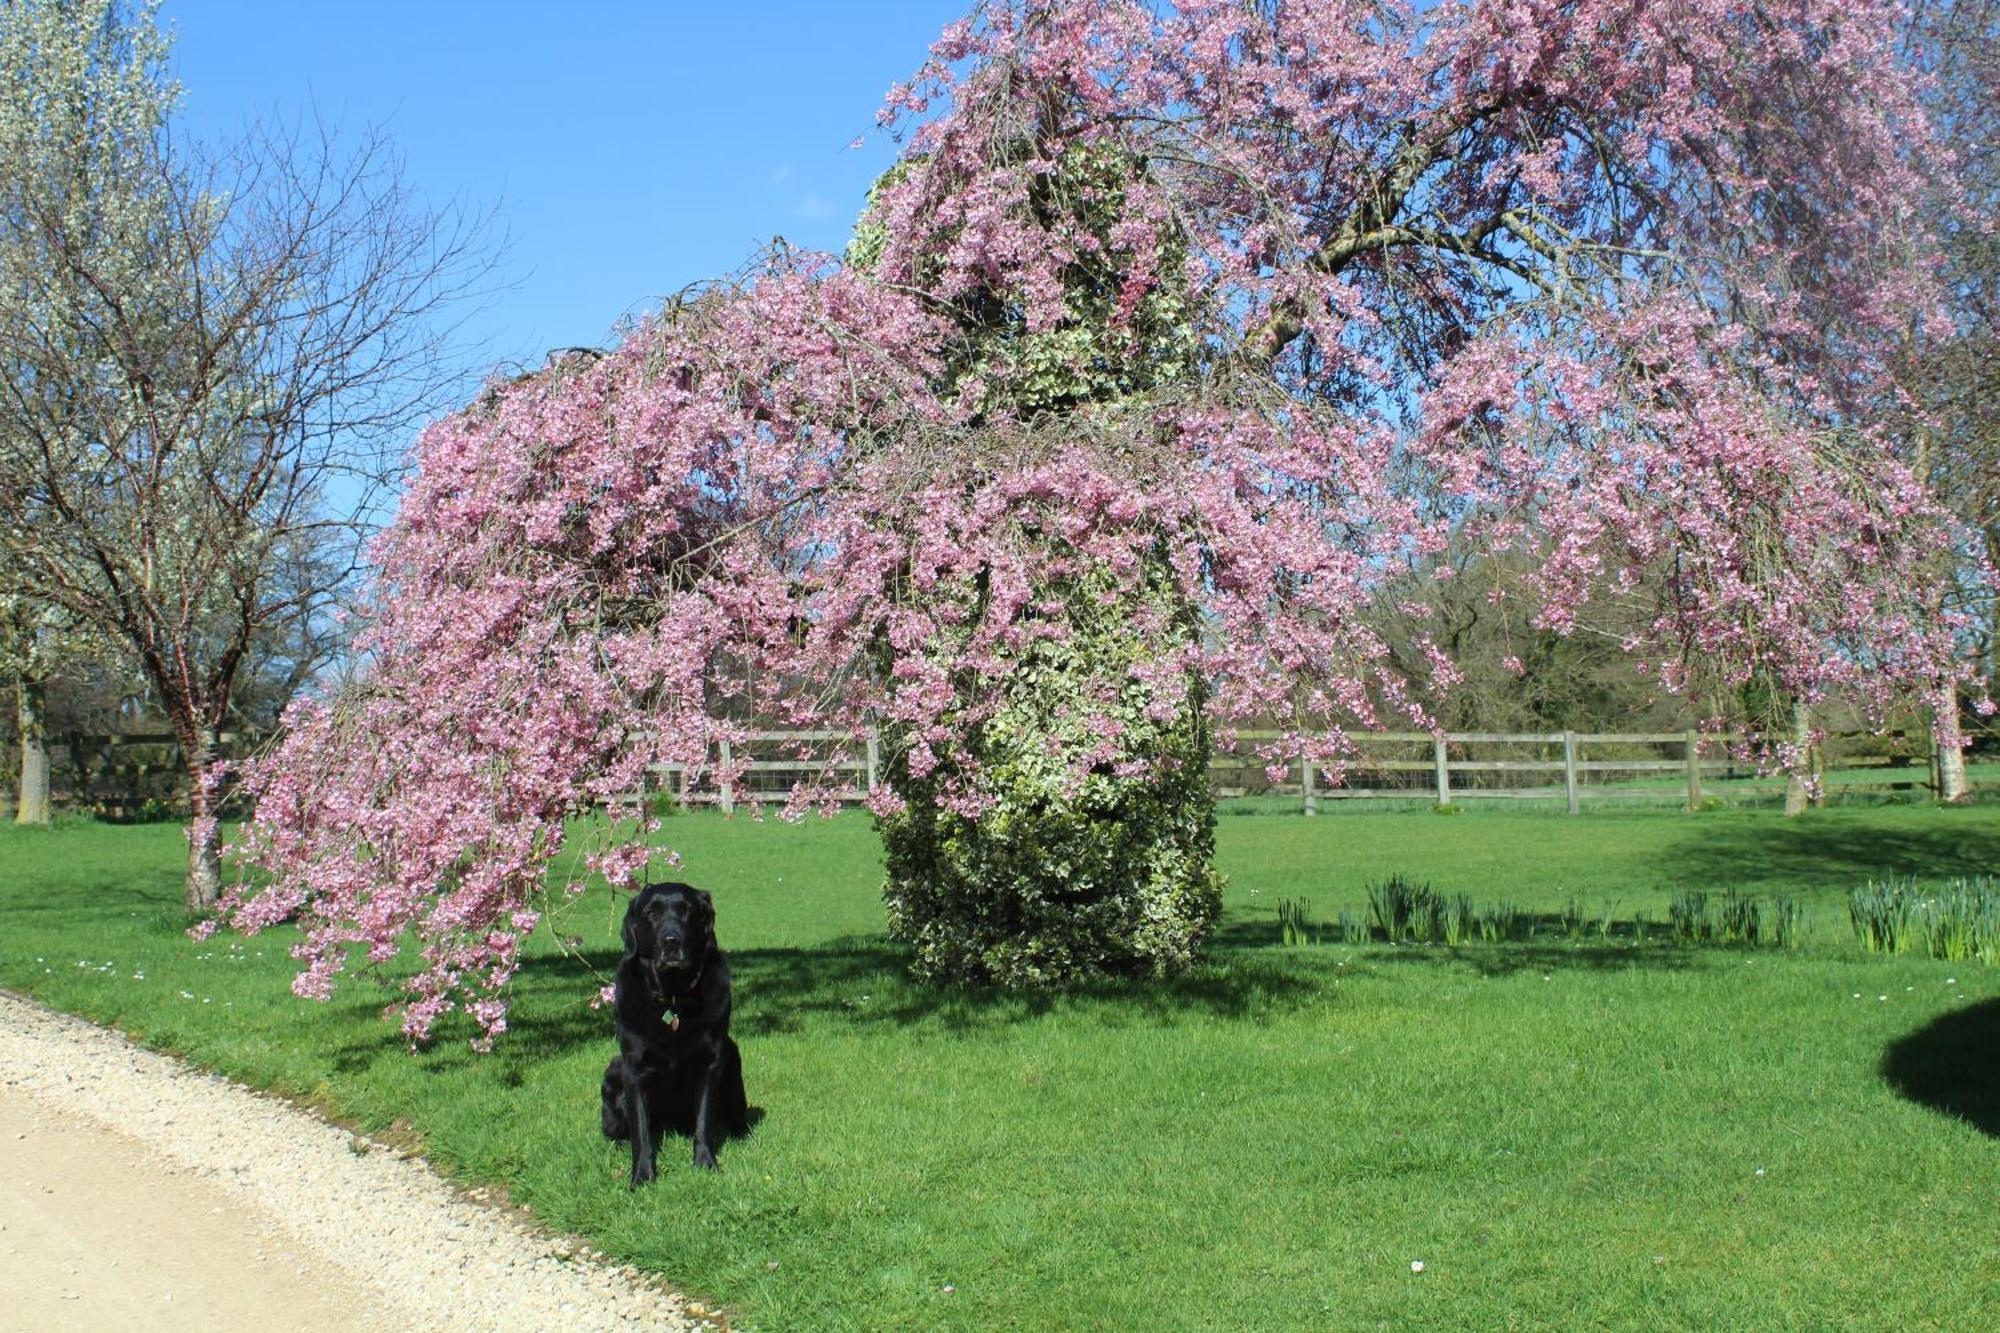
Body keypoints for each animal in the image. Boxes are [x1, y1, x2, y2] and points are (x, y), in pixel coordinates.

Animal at [600, 880, 752, 1176]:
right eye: (652, 912)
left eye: (687, 911)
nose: (672, 941)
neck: (673, 998)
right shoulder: (633, 1068)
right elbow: (641, 1132)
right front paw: (642, 1176)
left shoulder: (710, 1063)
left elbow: (704, 1123)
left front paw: (706, 1164)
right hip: (613, 1071)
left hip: (732, 1054)